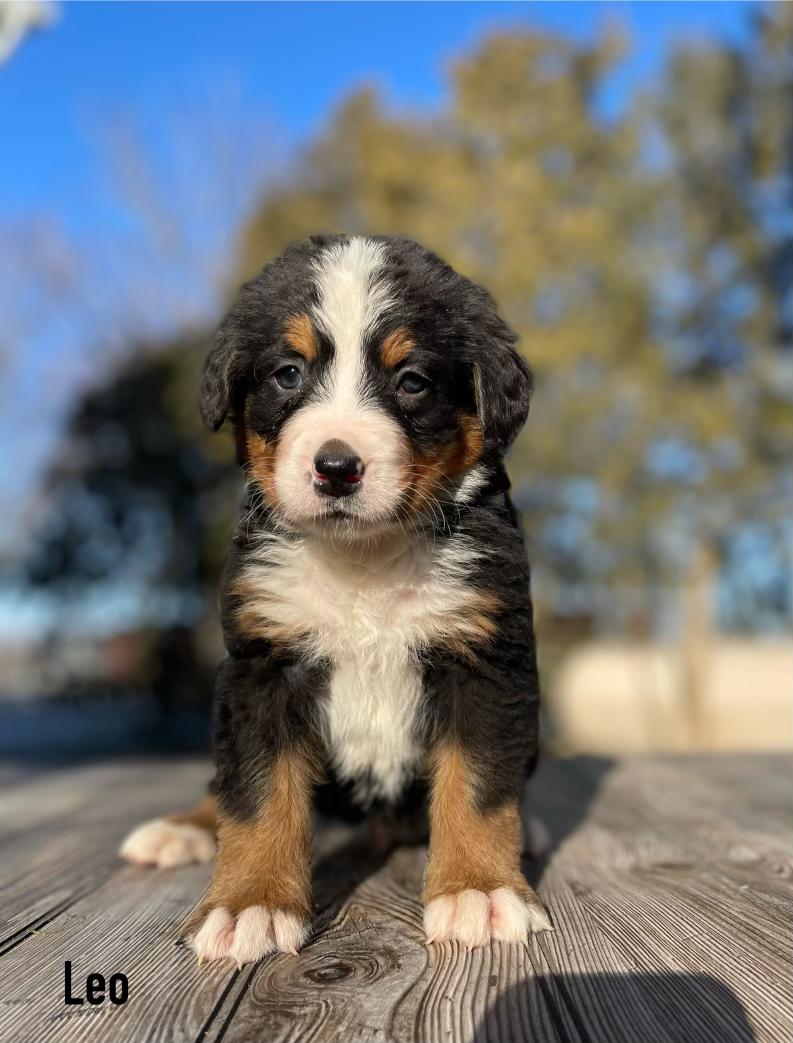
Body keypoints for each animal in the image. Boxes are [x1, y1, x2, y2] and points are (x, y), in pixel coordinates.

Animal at [120, 234, 551, 964]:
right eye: (288, 374)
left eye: (411, 381)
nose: (337, 466)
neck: (363, 561)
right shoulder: (263, 665)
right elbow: (257, 794)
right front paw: (251, 901)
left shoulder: (485, 661)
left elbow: (479, 788)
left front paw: (479, 890)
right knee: (221, 786)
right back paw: (180, 829)